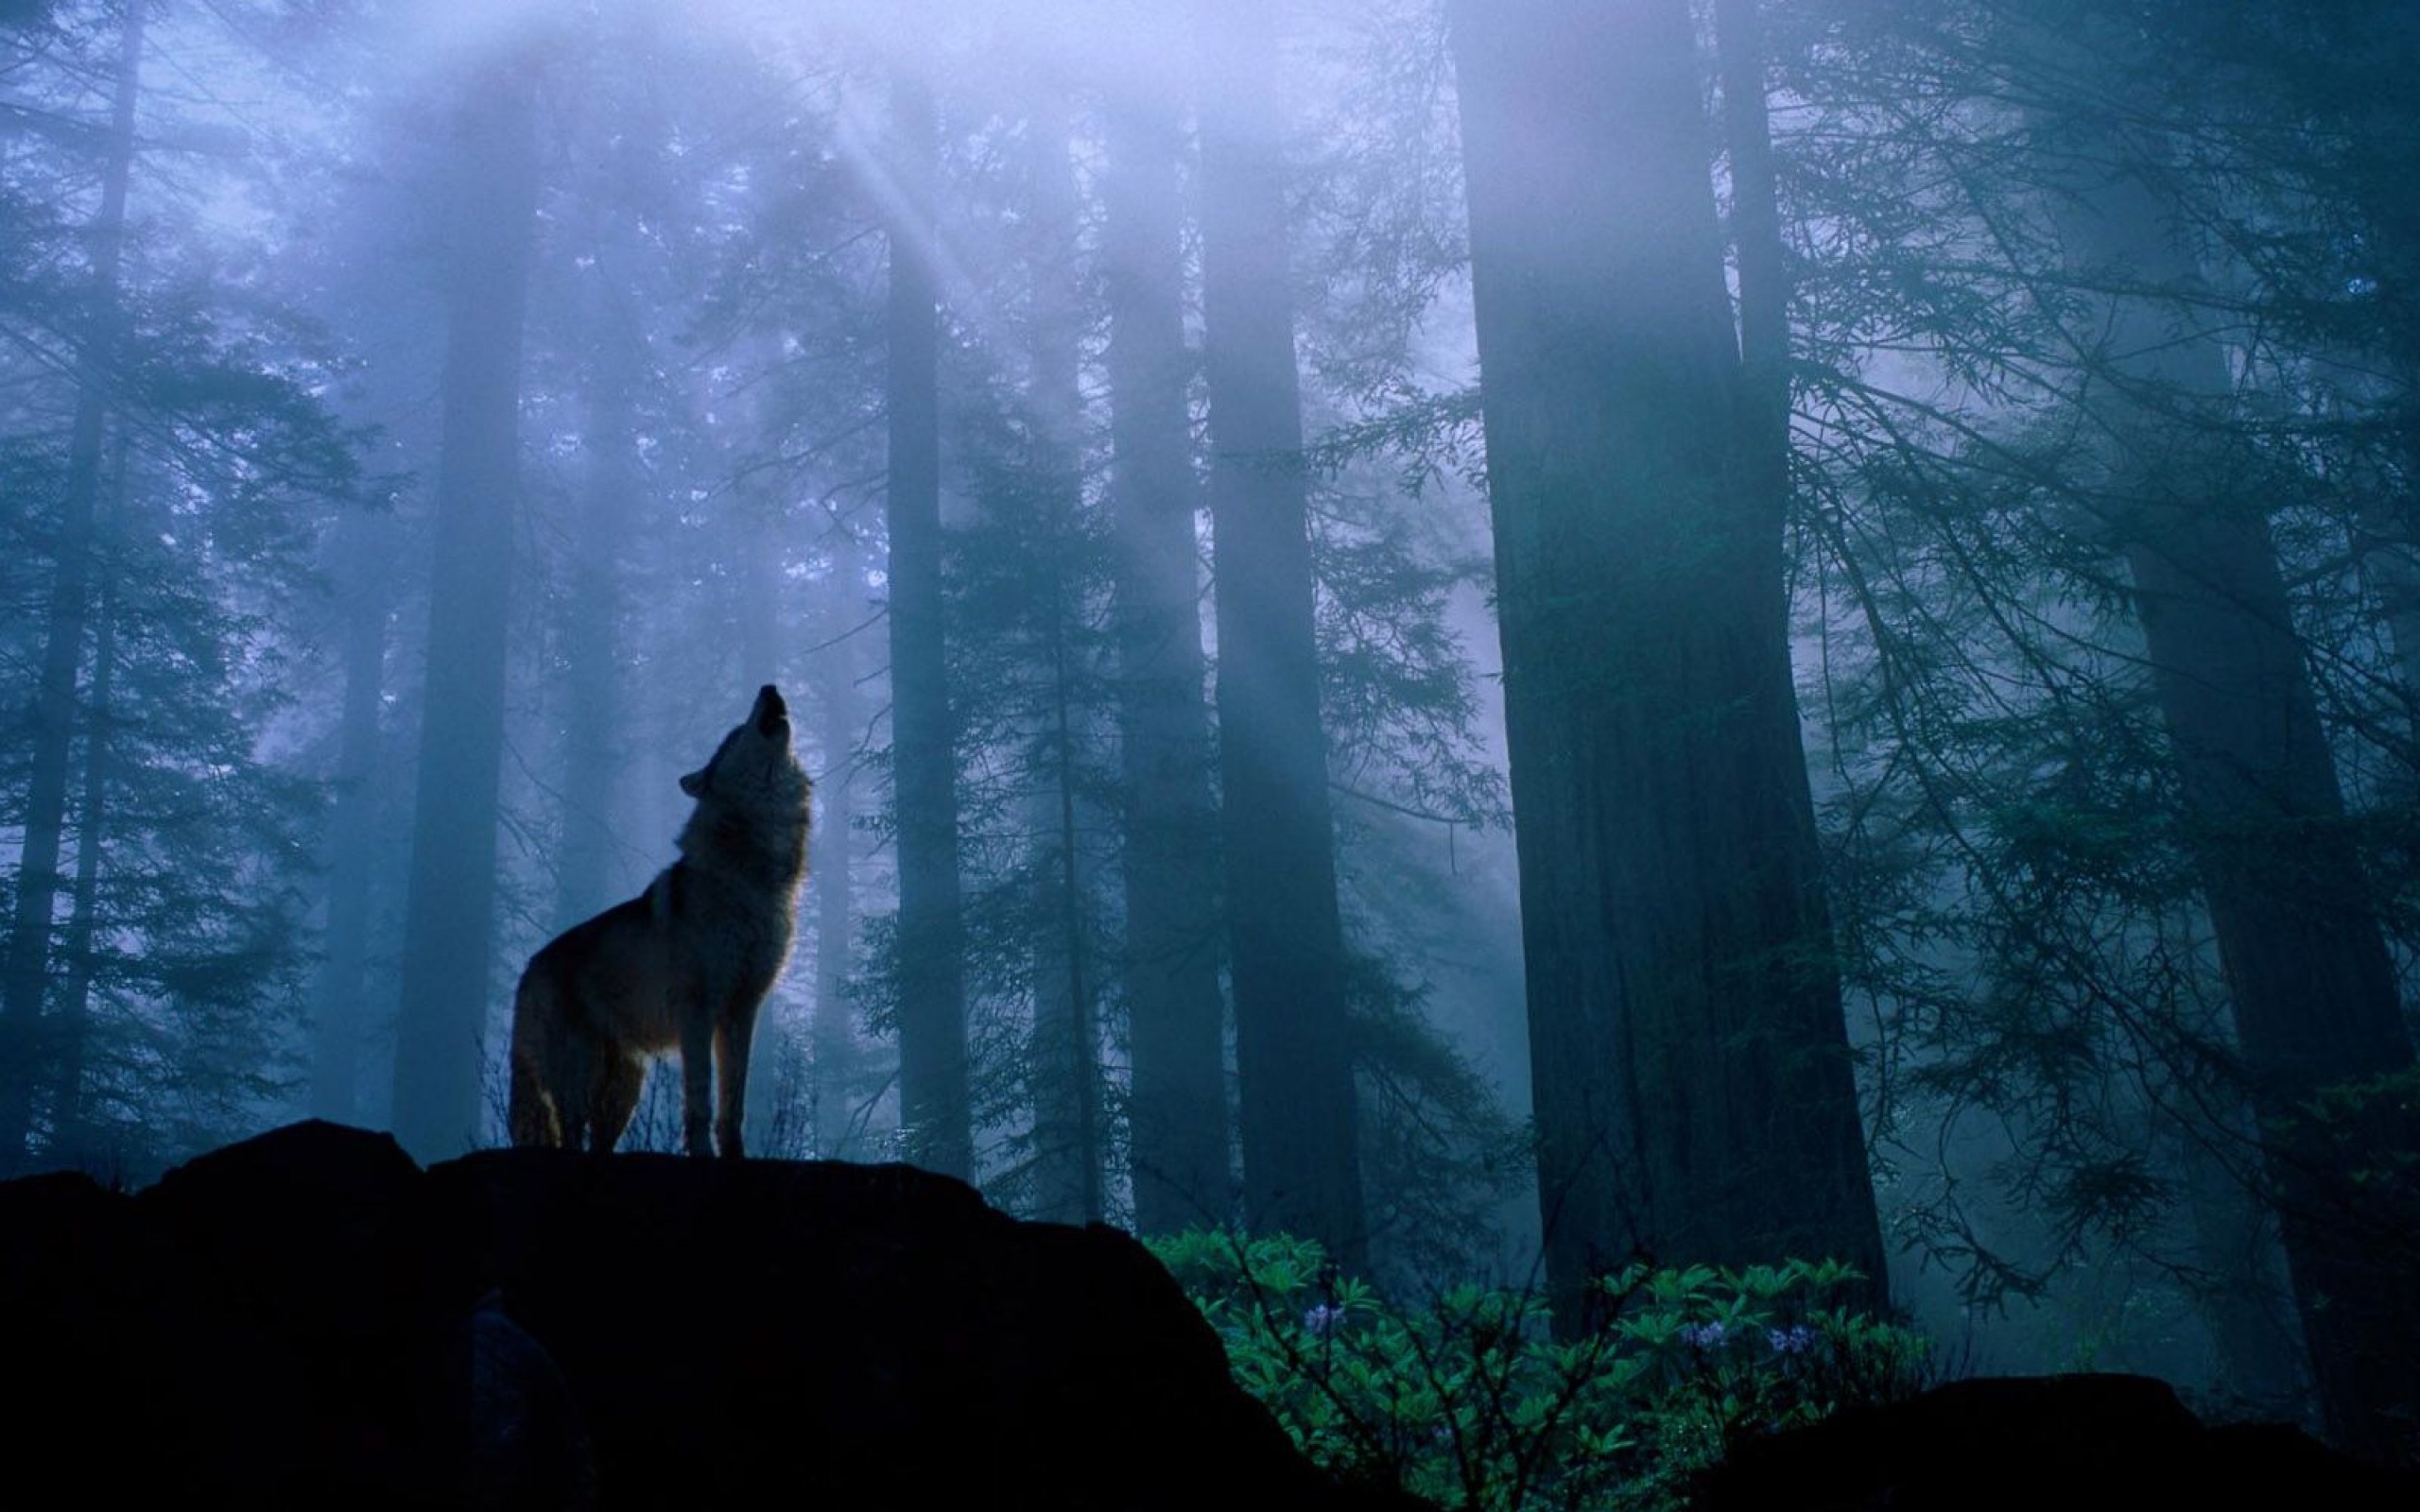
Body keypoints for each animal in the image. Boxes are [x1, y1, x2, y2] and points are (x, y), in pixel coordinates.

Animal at [508, 681, 813, 1156]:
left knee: (597, 1143)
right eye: (734, 734)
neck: (753, 873)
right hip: (578, 1079)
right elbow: (700, 1102)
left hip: (623, 1090)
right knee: (570, 1136)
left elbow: (733, 1106)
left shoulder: (742, 1009)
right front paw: (703, 1155)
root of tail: (528, 968)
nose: (770, 687)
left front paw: (735, 1156)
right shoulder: (697, 1011)